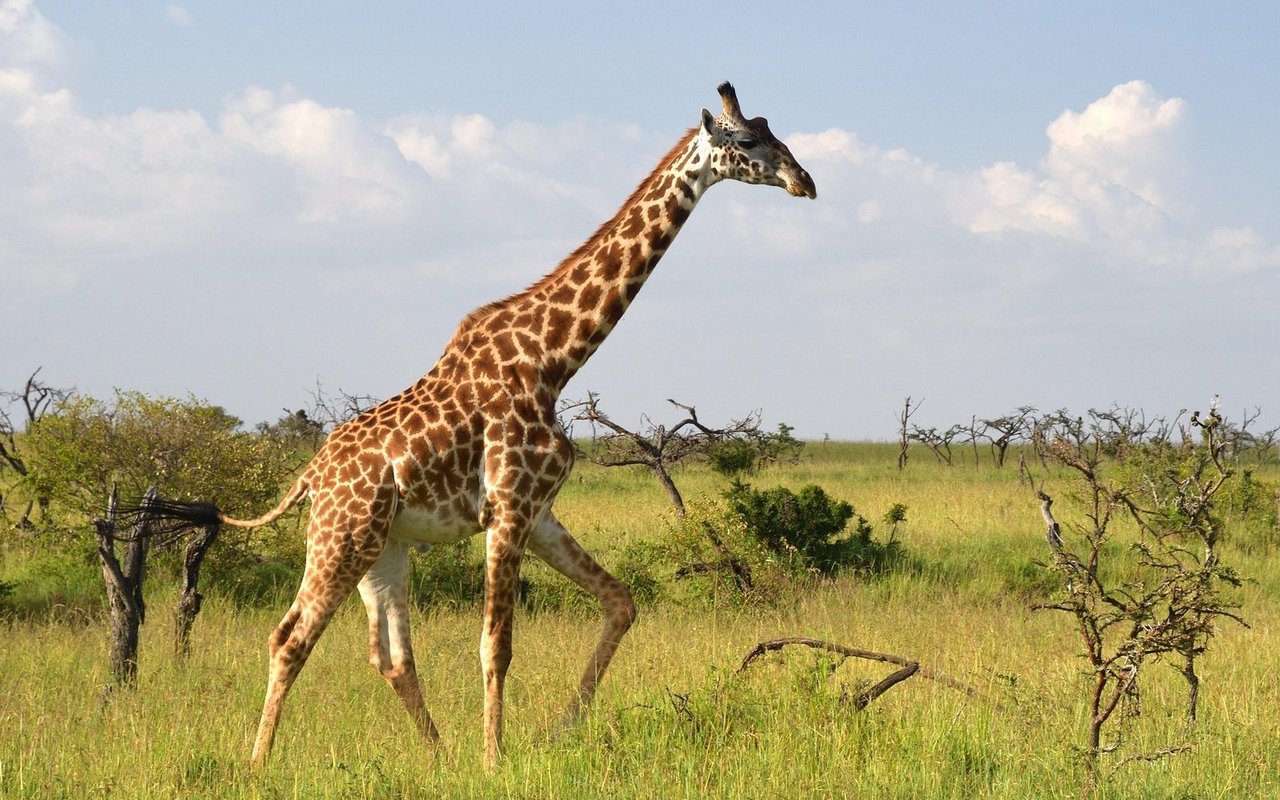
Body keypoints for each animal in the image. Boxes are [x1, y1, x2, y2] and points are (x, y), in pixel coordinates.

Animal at [139, 82, 815, 768]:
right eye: (749, 139)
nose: (805, 182)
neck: (555, 359)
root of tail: (309, 475)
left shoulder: (539, 511)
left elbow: (621, 602)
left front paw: (561, 729)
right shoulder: (508, 509)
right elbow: (496, 645)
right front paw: (495, 760)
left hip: (384, 548)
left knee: (390, 656)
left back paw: (438, 755)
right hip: (339, 538)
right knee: (289, 637)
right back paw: (259, 761)